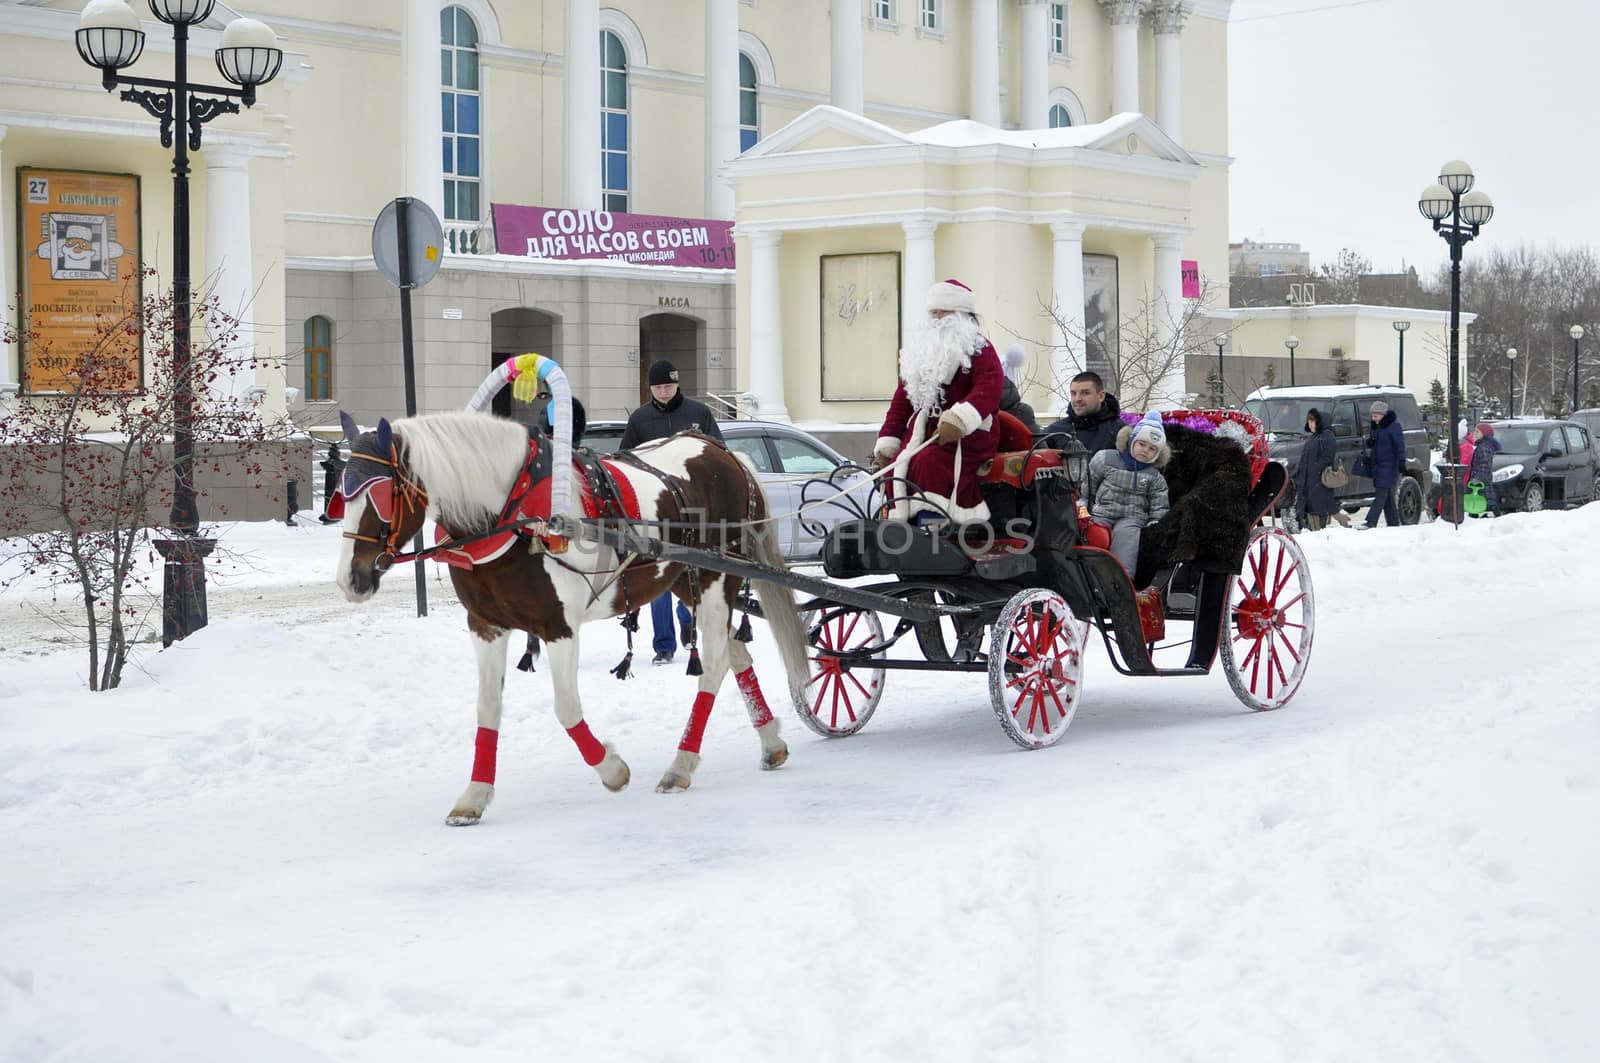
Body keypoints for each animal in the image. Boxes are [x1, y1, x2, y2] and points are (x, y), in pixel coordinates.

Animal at [334, 409, 812, 826]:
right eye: (341, 495)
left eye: (381, 495)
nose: (350, 579)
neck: (515, 516)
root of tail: (724, 451)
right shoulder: (485, 626)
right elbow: (487, 708)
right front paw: (474, 796)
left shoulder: (558, 627)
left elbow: (565, 709)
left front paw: (612, 770)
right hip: (684, 580)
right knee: (736, 653)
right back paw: (771, 742)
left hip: (716, 579)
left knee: (712, 665)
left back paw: (681, 764)